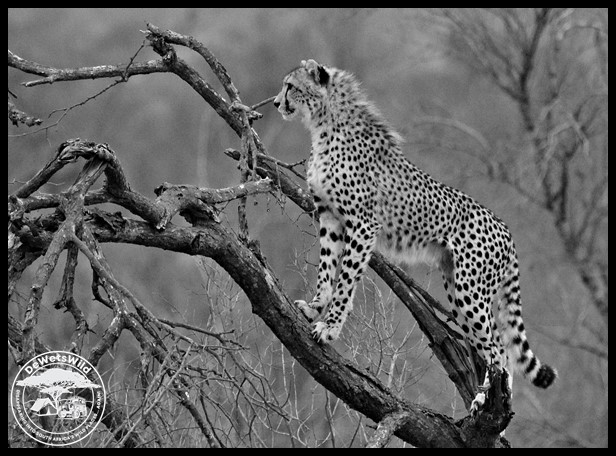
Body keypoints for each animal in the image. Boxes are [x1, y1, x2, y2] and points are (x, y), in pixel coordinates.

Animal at [273, 59, 556, 412]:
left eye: (291, 87)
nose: (276, 103)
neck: (324, 125)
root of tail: (505, 227)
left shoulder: (362, 224)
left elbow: (345, 282)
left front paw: (329, 327)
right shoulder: (329, 217)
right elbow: (326, 272)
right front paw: (314, 308)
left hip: (471, 291)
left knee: (499, 350)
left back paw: (483, 399)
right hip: (456, 288)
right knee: (497, 346)